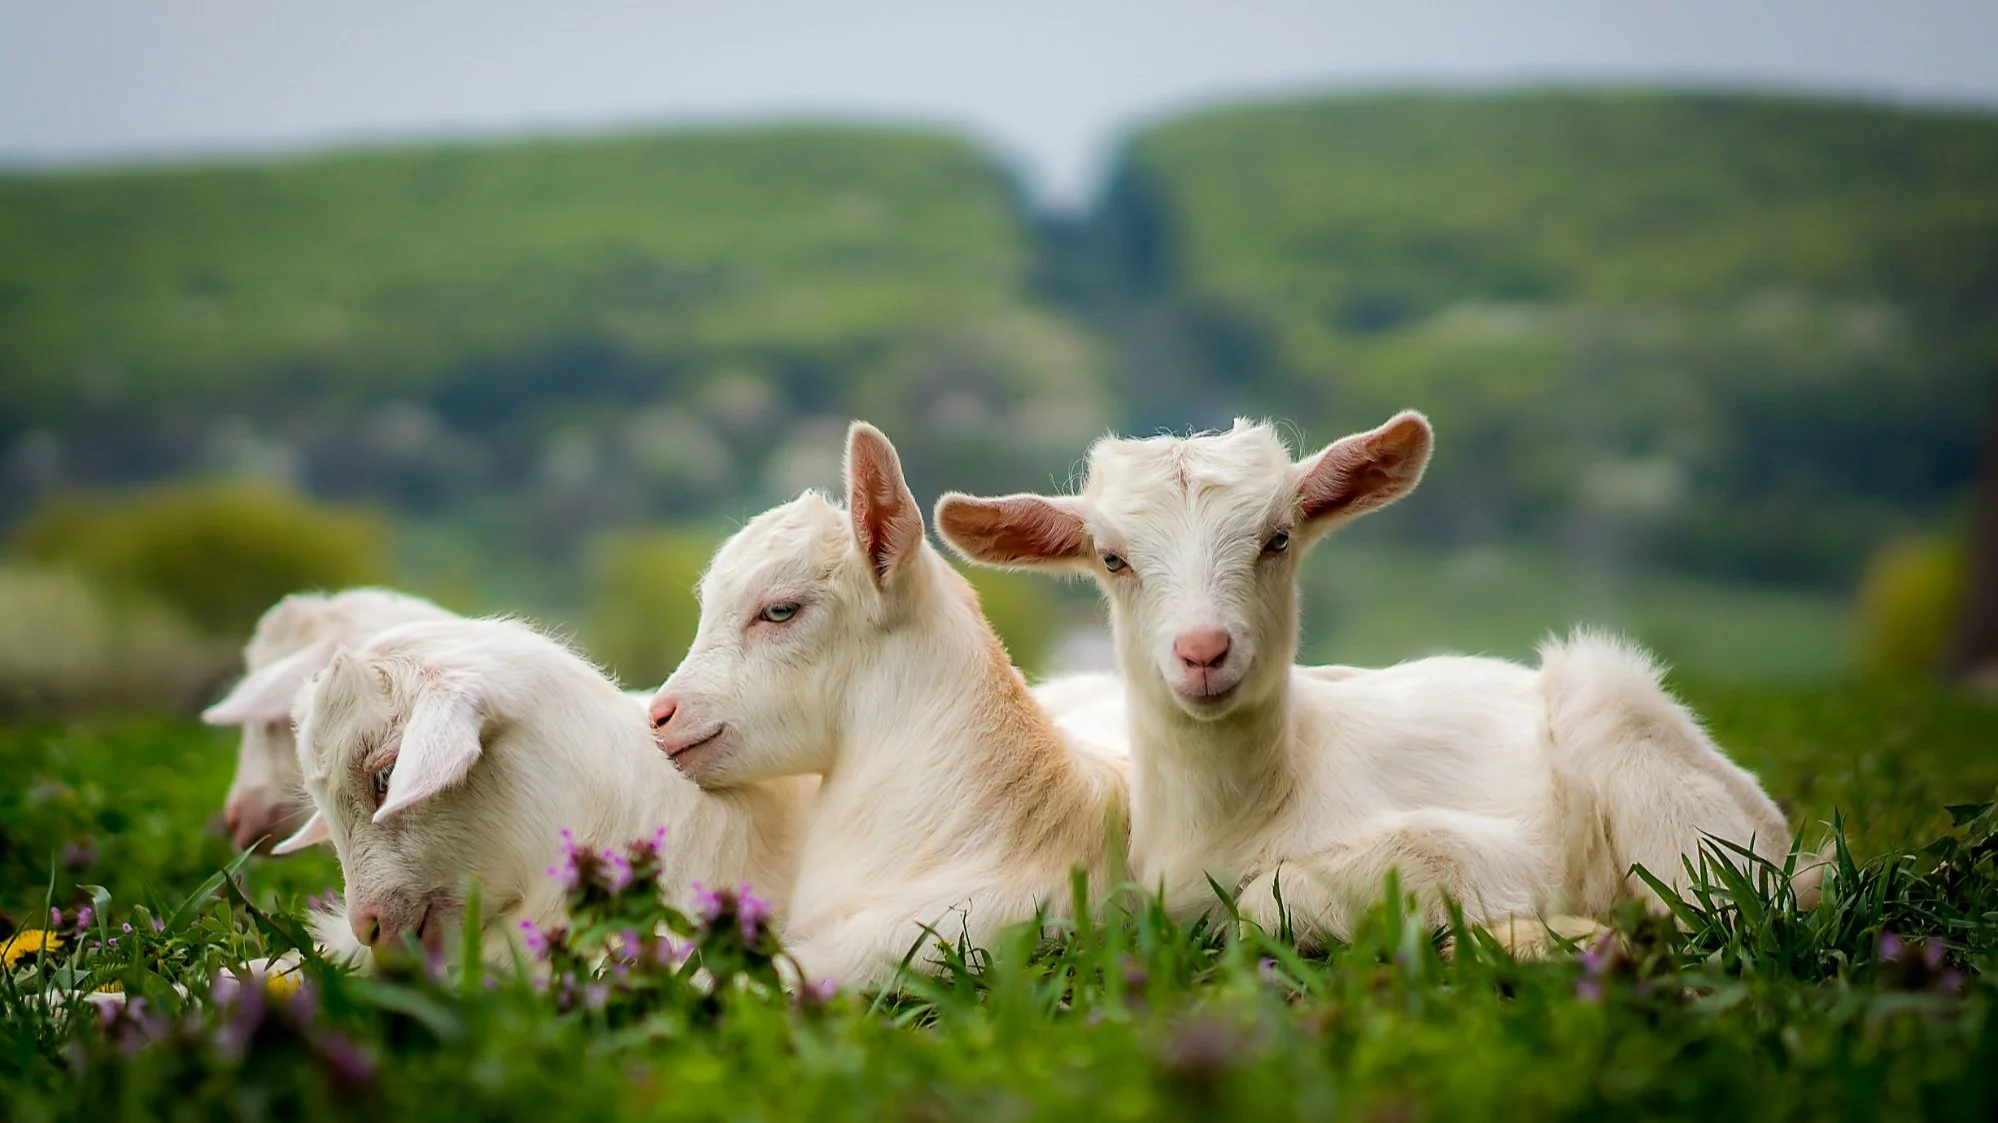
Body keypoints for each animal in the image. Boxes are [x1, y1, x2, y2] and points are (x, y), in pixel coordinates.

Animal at [936, 412, 1797, 953]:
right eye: (1113, 559)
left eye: (1278, 537)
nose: (1203, 651)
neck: (1243, 812)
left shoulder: (1503, 851)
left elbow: (1278, 896)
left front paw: (1546, 929)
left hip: (1641, 750)